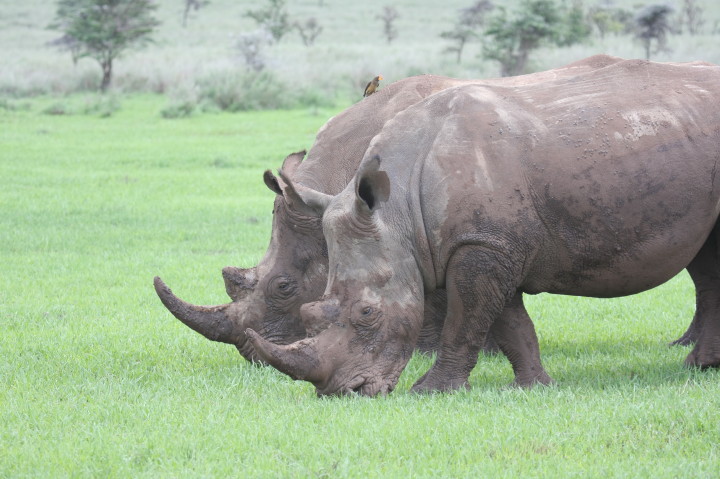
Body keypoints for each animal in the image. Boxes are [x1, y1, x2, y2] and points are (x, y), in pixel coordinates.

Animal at [246, 58, 720, 396]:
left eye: (367, 313)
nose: (345, 391)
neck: (398, 208)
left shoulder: (482, 246)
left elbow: (465, 319)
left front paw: (431, 391)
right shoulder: (484, 243)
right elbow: (509, 322)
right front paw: (533, 386)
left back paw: (695, 367)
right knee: (708, 261)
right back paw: (700, 367)